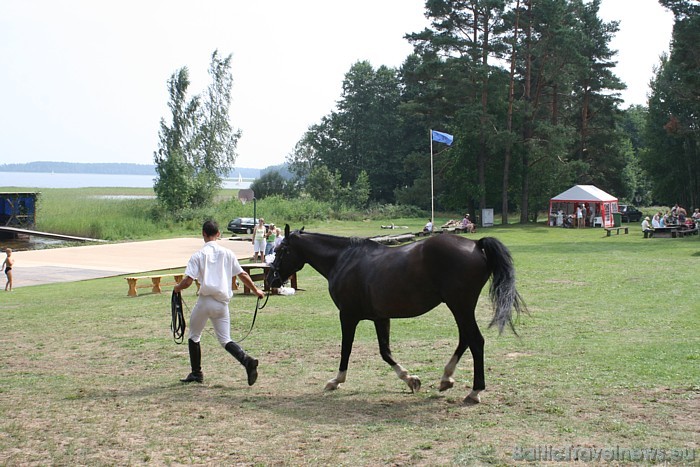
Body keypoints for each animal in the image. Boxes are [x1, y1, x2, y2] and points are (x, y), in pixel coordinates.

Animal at [268, 226, 524, 402]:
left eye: (281, 250)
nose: (271, 279)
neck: (343, 260)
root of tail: (475, 244)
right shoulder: (381, 318)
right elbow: (385, 352)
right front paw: (411, 380)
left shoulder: (348, 316)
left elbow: (346, 350)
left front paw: (336, 381)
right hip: (460, 307)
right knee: (465, 339)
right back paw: (446, 378)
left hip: (460, 306)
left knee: (476, 341)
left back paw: (474, 391)